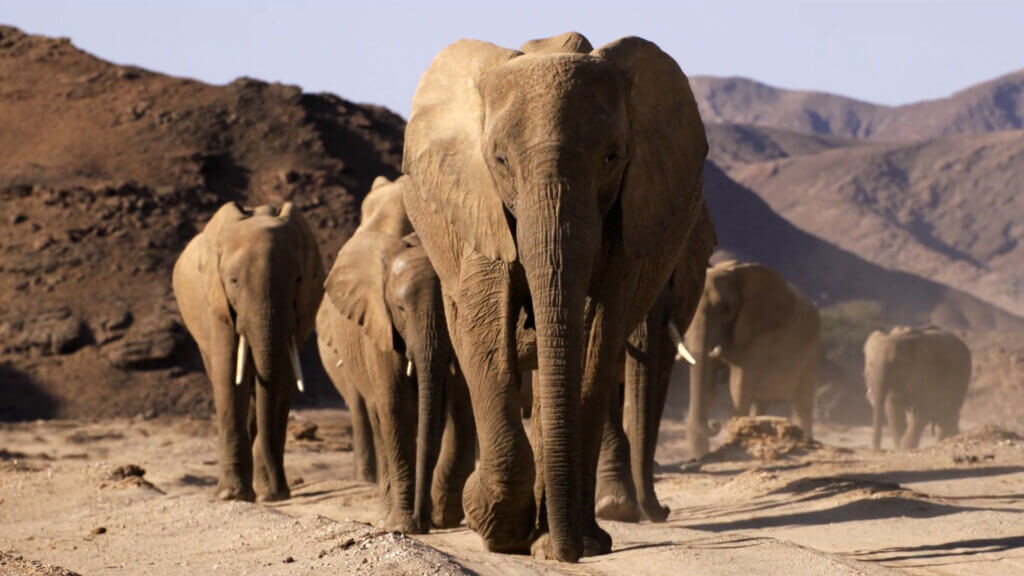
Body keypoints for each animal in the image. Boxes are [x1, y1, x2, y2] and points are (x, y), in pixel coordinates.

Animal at [173, 202, 324, 502]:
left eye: (297, 279)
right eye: (233, 281)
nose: (279, 493)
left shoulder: (302, 310)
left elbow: (282, 379)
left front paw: (269, 495)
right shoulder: (216, 303)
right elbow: (229, 374)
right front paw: (231, 496)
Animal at [316, 176, 476, 533]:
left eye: (450, 307)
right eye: (400, 309)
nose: (423, 520)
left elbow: (448, 407)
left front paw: (430, 519)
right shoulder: (378, 324)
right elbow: (396, 406)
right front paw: (404, 526)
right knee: (379, 413)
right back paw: (386, 513)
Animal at [685, 261, 820, 459]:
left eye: (727, 309)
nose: (715, 423)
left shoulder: (755, 334)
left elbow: (738, 386)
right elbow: (707, 386)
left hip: (812, 351)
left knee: (802, 404)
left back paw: (806, 441)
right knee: (762, 403)